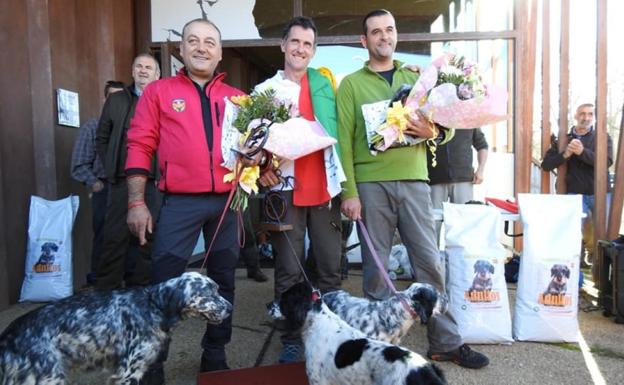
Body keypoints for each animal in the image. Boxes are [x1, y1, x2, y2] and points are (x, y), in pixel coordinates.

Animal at [0, 270, 232, 384]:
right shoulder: (129, 371)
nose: (230, 308)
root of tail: (9, 334)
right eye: (209, 293)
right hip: (48, 378)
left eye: (217, 288)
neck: (153, 305)